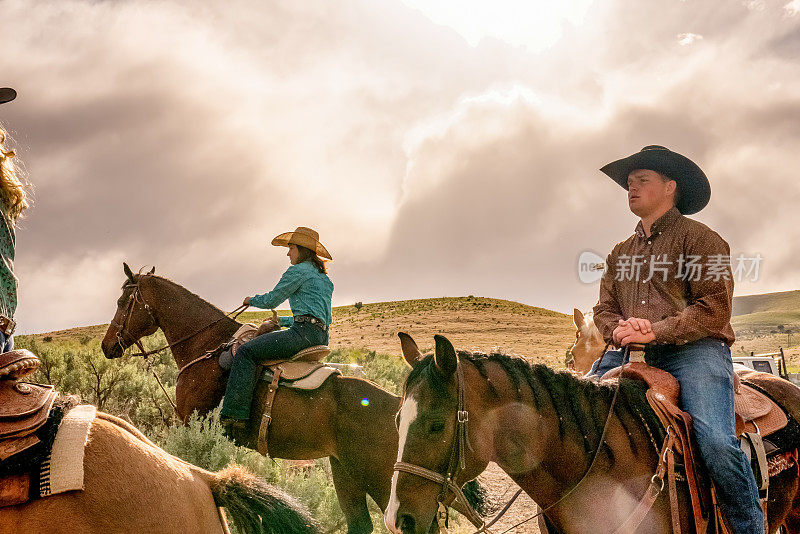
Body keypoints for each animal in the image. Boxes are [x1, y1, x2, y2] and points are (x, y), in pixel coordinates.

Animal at [100, 264, 488, 534]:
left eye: (122, 302)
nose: (107, 346)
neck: (207, 348)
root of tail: (399, 405)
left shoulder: (188, 422)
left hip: (384, 481)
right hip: (345, 470)